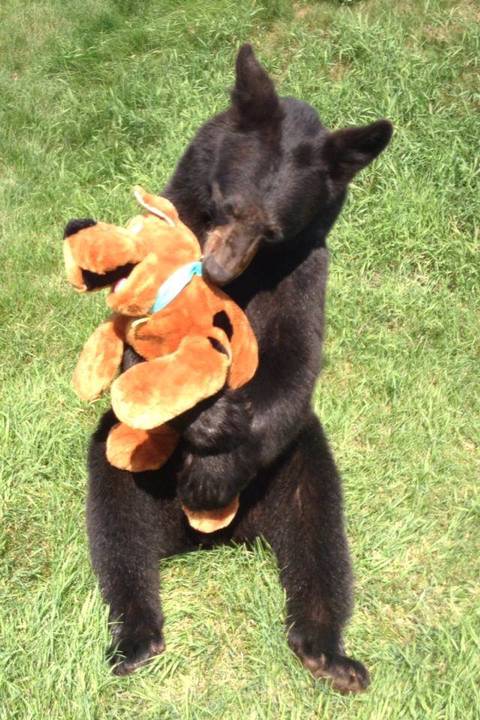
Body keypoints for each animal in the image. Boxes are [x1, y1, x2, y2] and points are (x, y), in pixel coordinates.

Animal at [75, 45, 392, 692]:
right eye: (226, 204)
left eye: (272, 230)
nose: (218, 270)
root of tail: (209, 536)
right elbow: (133, 355)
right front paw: (202, 414)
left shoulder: (305, 267)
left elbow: (295, 361)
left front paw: (214, 457)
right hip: (129, 466)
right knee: (117, 525)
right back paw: (135, 637)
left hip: (297, 461)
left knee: (319, 531)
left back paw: (327, 651)